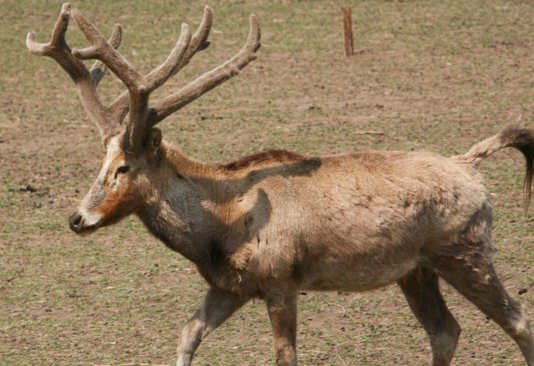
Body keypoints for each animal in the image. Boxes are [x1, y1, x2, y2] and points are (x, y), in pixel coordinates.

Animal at [27, 3, 534, 366]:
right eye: (101, 161)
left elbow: (284, 356)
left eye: (123, 168)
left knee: (517, 319)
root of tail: (469, 165)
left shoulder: (280, 279)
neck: (222, 230)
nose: (77, 218)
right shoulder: (231, 285)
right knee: (446, 332)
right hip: (417, 269)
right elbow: (187, 334)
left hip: (465, 251)